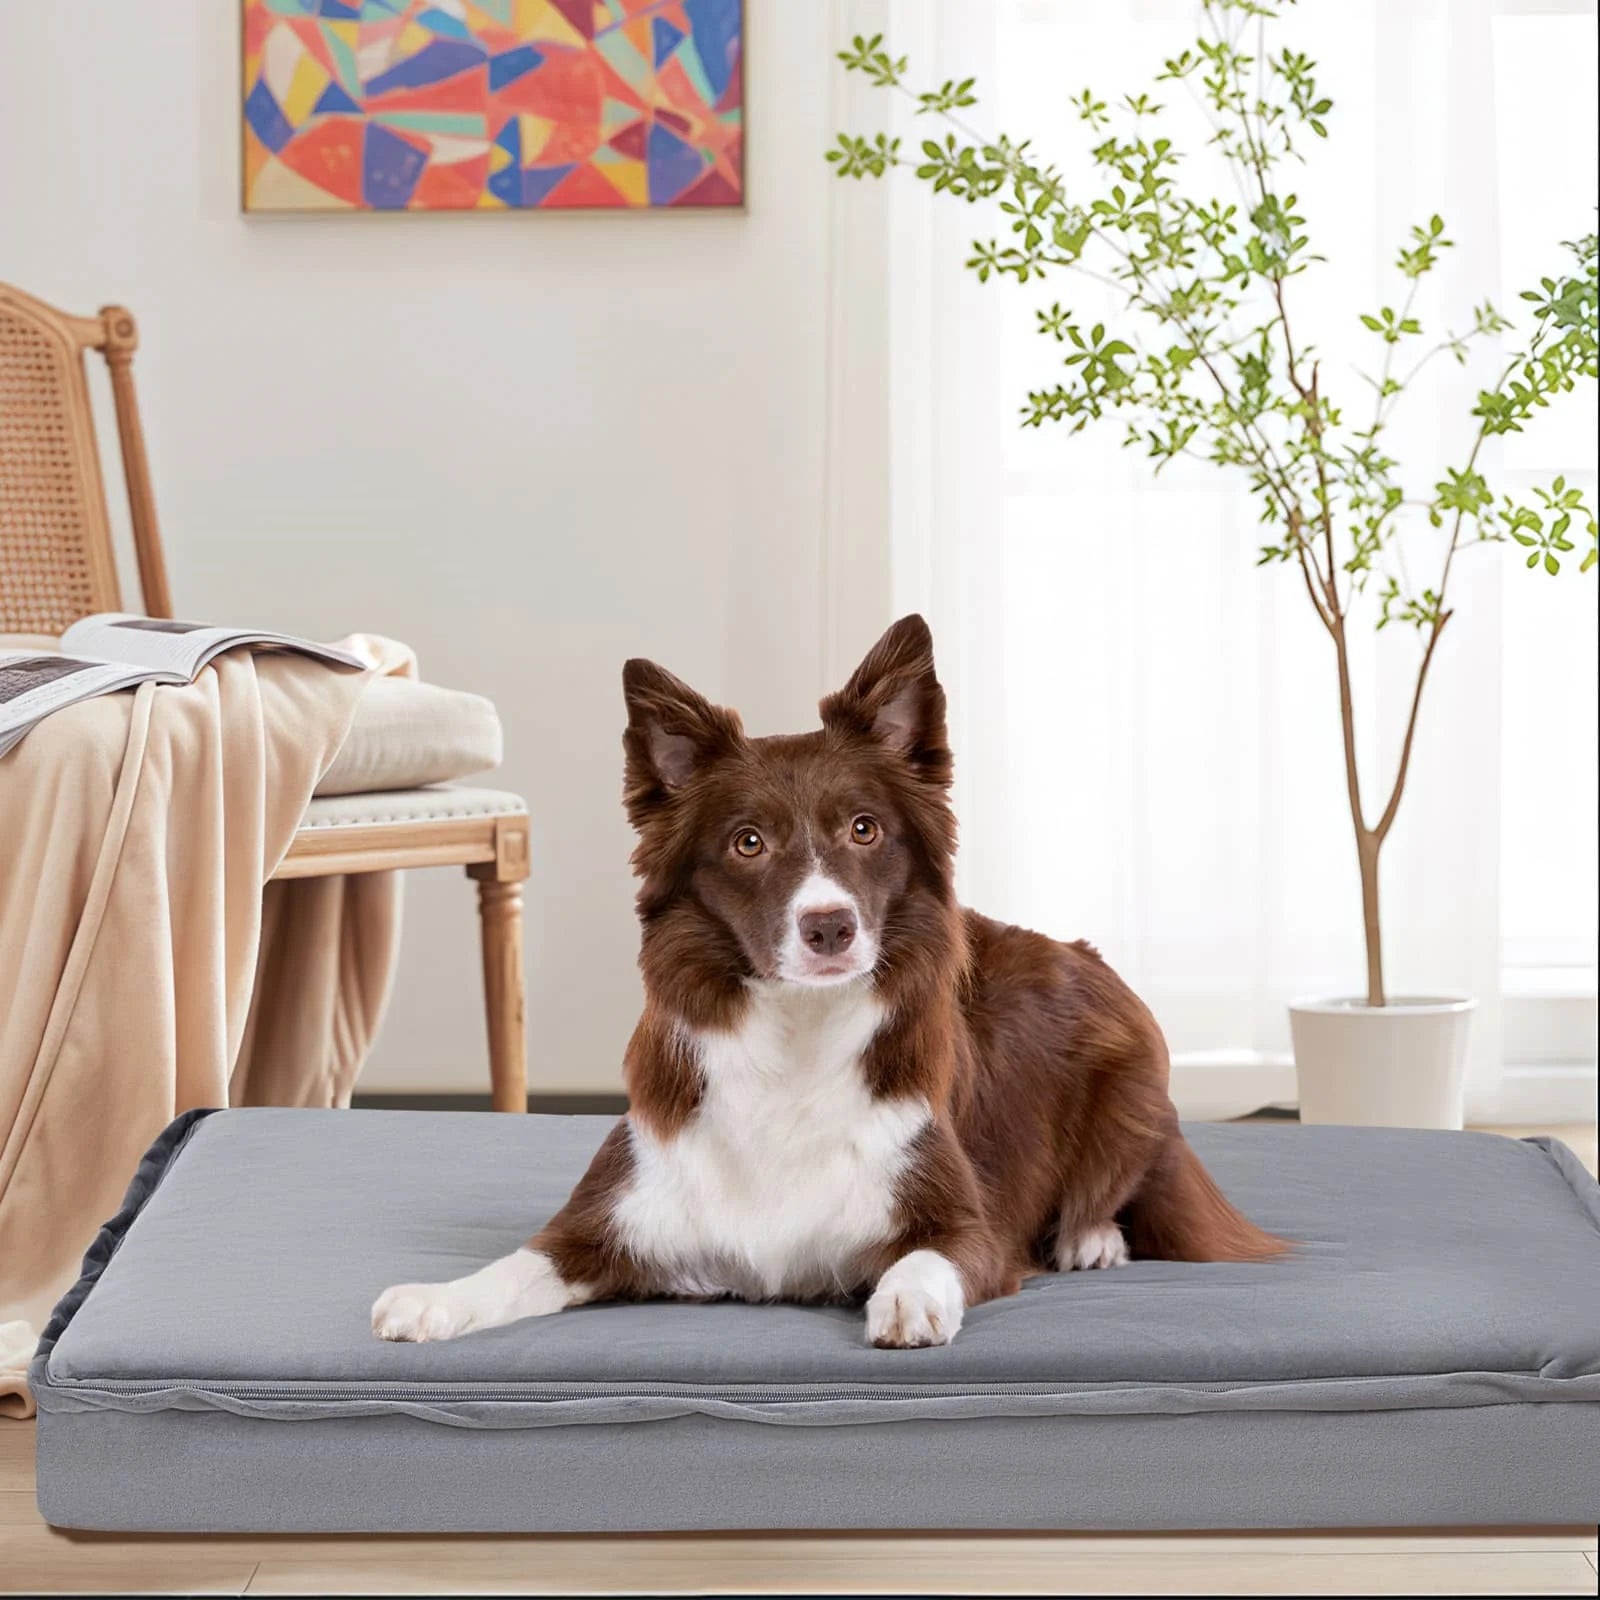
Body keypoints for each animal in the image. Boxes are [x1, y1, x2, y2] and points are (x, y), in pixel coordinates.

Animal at [368, 614, 1280, 1350]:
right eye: (748, 842)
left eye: (864, 829)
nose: (830, 926)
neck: (795, 1031)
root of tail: (1082, 951)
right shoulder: (609, 1213)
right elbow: (520, 1262)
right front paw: (434, 1300)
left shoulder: (970, 1225)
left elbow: (928, 1258)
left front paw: (907, 1302)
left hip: (1134, 1075)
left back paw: (1093, 1239)